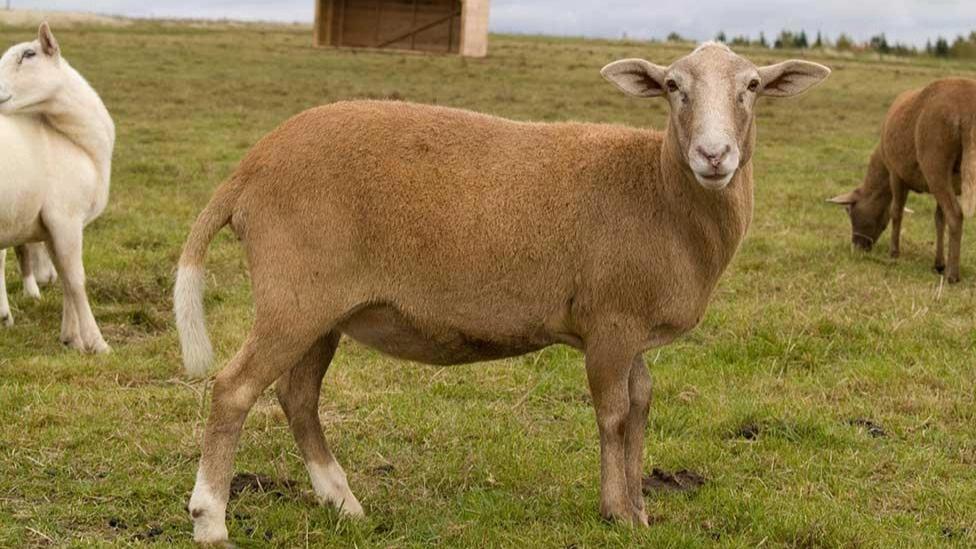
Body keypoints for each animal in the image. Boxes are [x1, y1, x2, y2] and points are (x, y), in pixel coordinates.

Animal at [0, 23, 114, 352]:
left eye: (28, 54)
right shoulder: (65, 217)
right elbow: (76, 279)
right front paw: (97, 342)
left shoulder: (53, 224)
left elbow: (64, 277)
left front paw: (71, 338)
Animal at [175, 42, 829, 543]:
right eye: (673, 86)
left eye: (752, 86)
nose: (714, 155)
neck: (659, 190)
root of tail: (250, 167)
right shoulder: (611, 323)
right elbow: (613, 414)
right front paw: (616, 512)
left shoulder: (633, 328)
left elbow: (641, 404)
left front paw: (641, 510)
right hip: (294, 293)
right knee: (234, 389)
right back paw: (211, 520)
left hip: (323, 307)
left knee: (298, 397)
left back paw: (344, 503)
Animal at [829, 78, 976, 282]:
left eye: (850, 211)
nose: (857, 247)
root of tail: (967, 112)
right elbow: (939, 218)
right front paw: (938, 263)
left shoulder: (896, 174)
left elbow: (896, 212)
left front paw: (894, 254)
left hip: (934, 162)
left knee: (955, 214)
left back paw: (952, 275)